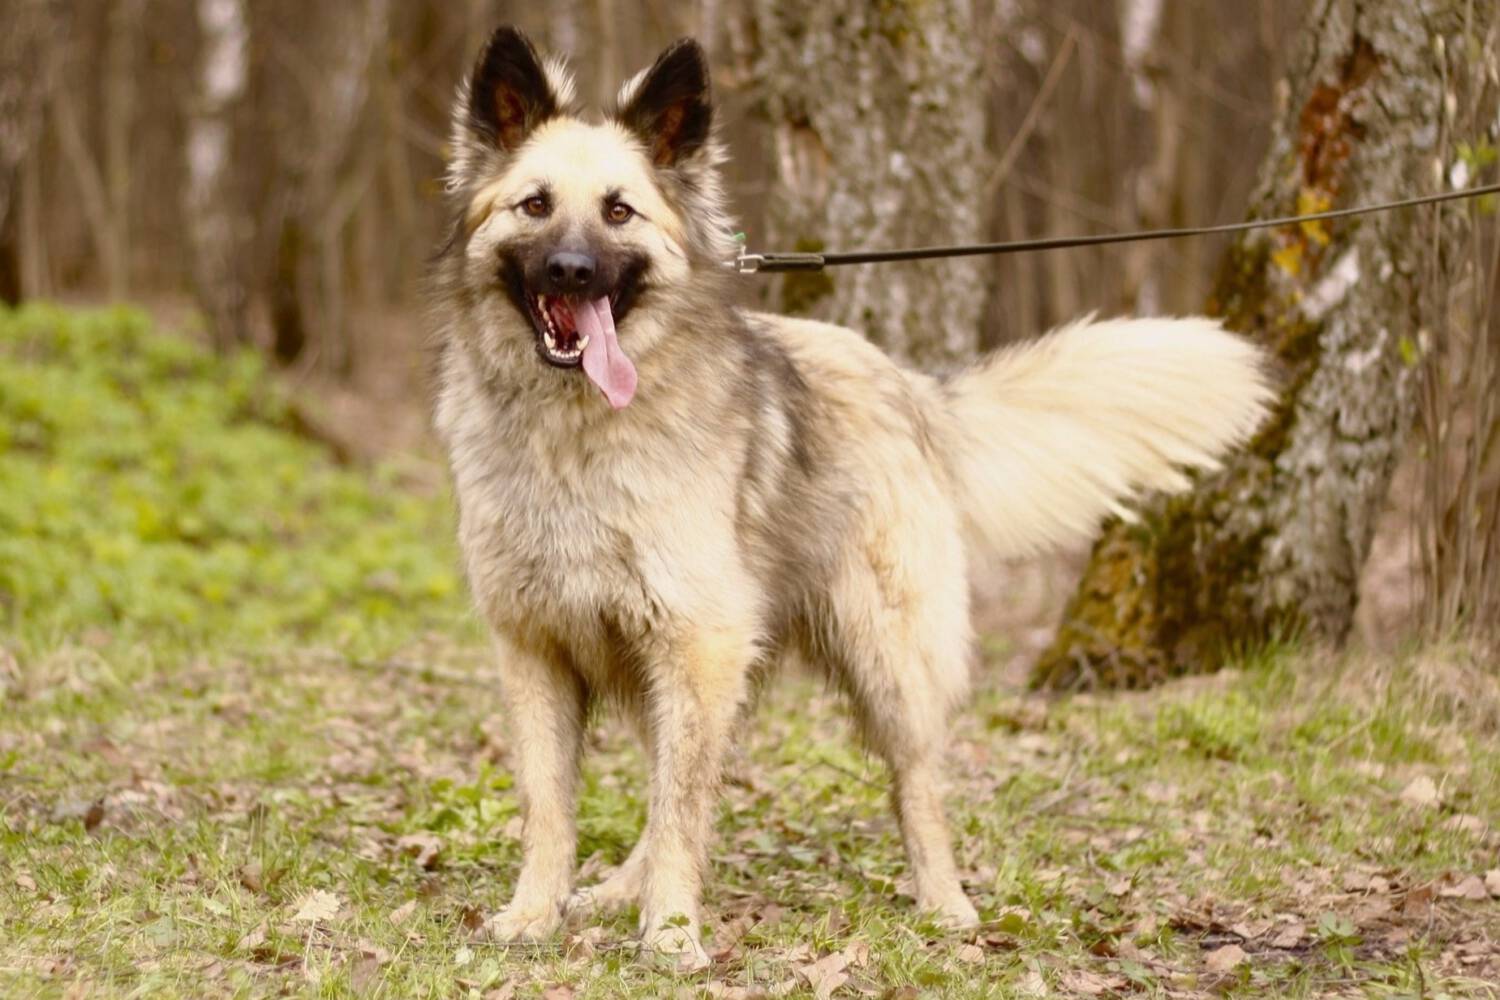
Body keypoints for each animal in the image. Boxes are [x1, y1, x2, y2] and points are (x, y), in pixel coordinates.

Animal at [429, 25, 1272, 971]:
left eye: (618, 213)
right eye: (535, 205)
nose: (573, 272)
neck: (572, 435)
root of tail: (909, 384)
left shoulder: (696, 643)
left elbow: (682, 809)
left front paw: (673, 935)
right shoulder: (541, 651)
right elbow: (552, 805)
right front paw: (535, 915)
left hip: (883, 657)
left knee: (914, 783)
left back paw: (946, 906)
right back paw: (617, 892)